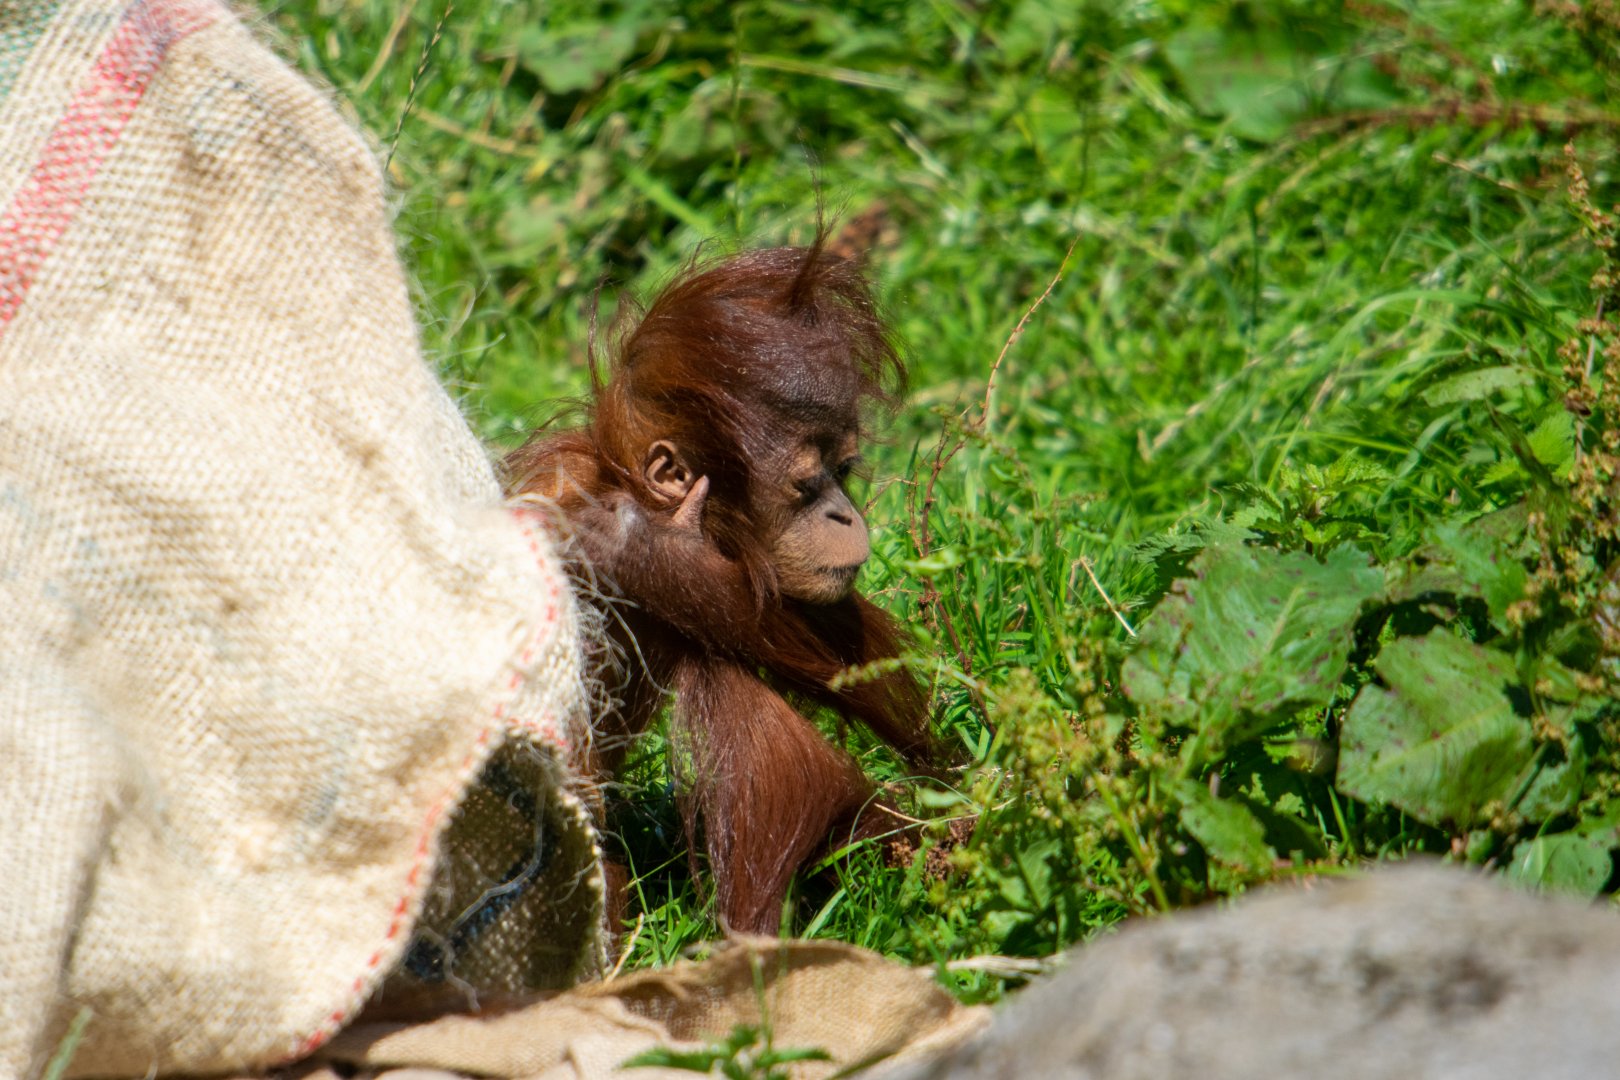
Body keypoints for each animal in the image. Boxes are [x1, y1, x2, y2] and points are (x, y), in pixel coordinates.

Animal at [505, 233, 933, 934]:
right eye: (808, 485)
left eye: (845, 472)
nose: (845, 515)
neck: (620, 480)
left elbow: (828, 634)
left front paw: (647, 551)